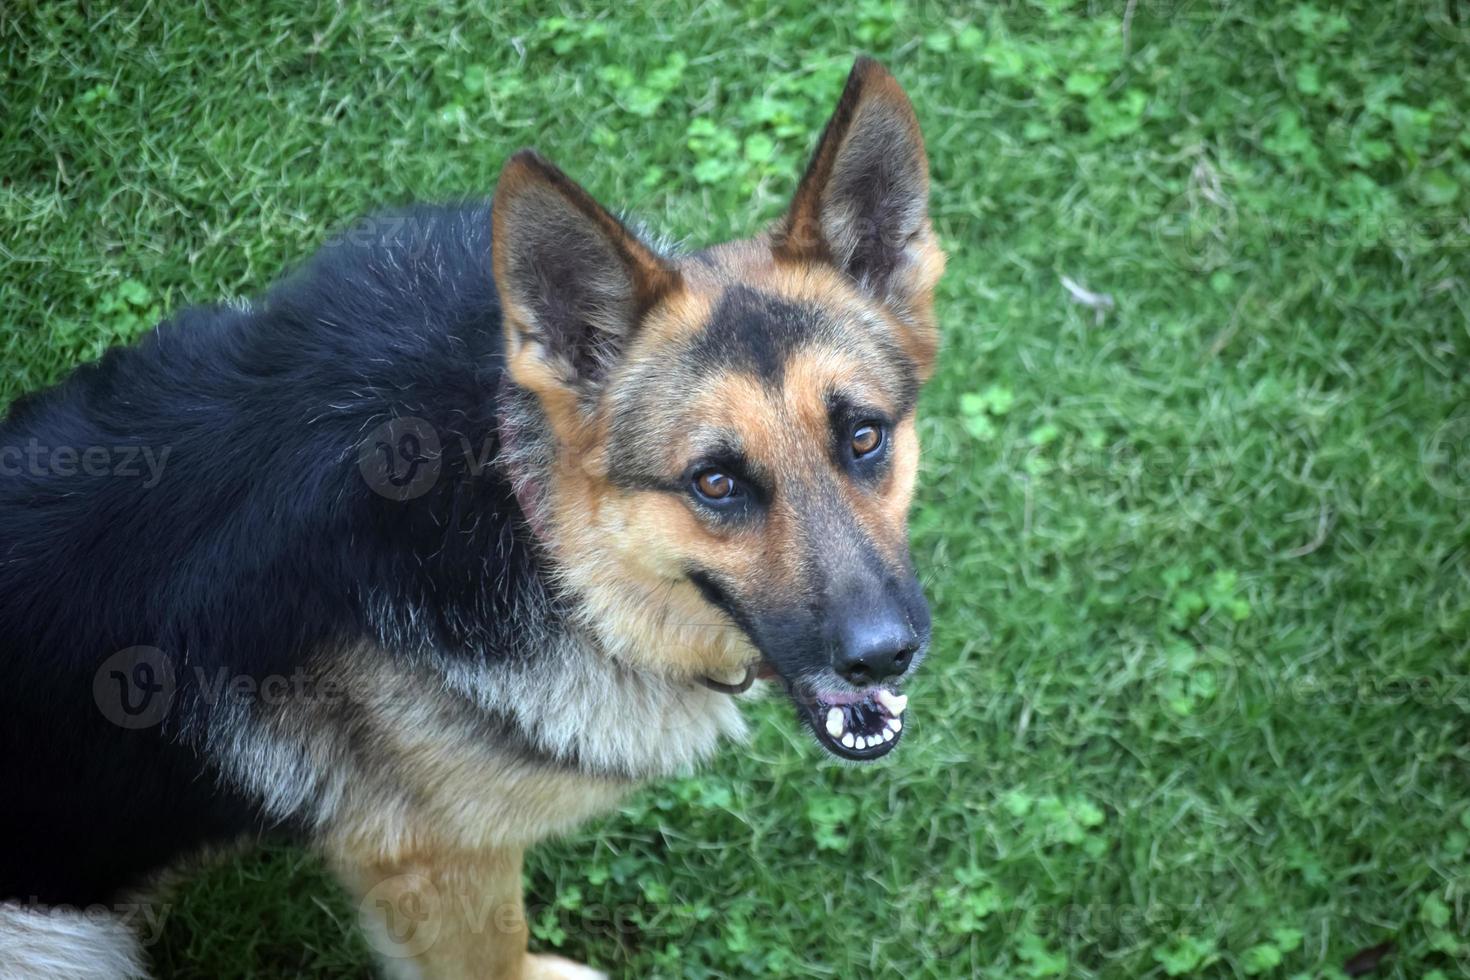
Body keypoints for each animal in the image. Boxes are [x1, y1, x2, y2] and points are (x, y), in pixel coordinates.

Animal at [0, 57, 940, 975]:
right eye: (714, 483)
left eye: (864, 436)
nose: (883, 655)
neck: (523, 522)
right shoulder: (434, 861)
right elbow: (497, 950)